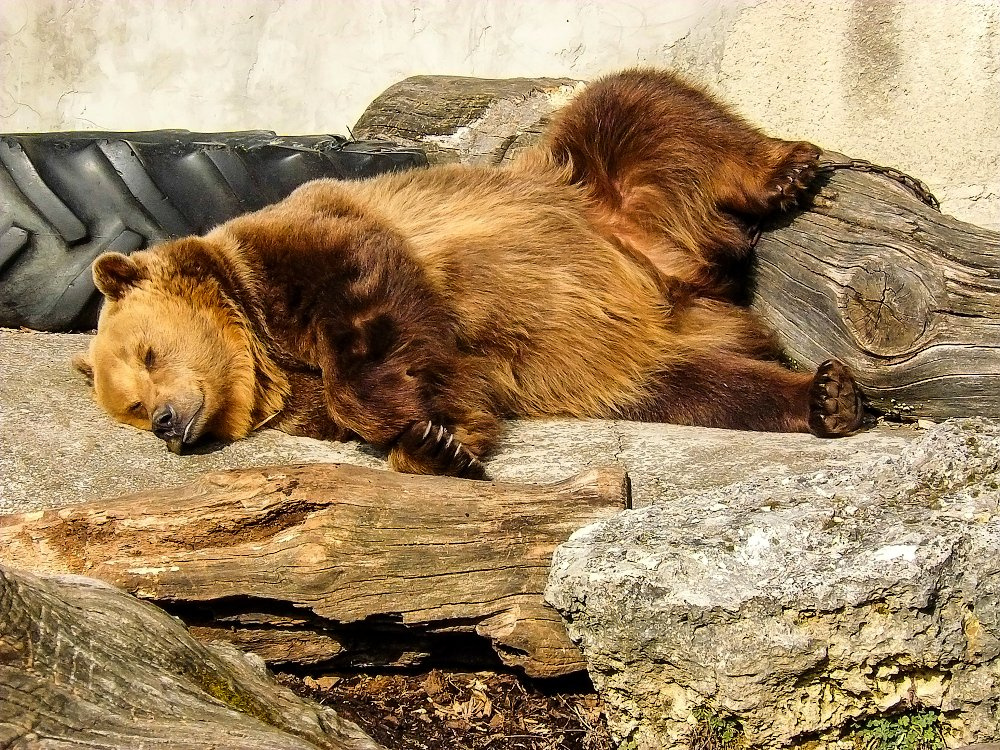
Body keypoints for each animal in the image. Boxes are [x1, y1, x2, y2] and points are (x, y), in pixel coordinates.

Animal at [74, 70, 864, 482]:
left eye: (149, 353)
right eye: (133, 406)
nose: (168, 425)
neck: (262, 356)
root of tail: (680, 279)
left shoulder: (307, 247)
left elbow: (362, 307)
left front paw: (422, 435)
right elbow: (433, 379)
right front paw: (438, 443)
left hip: (586, 185)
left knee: (638, 107)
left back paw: (785, 171)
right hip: (626, 360)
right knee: (698, 387)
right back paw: (822, 397)